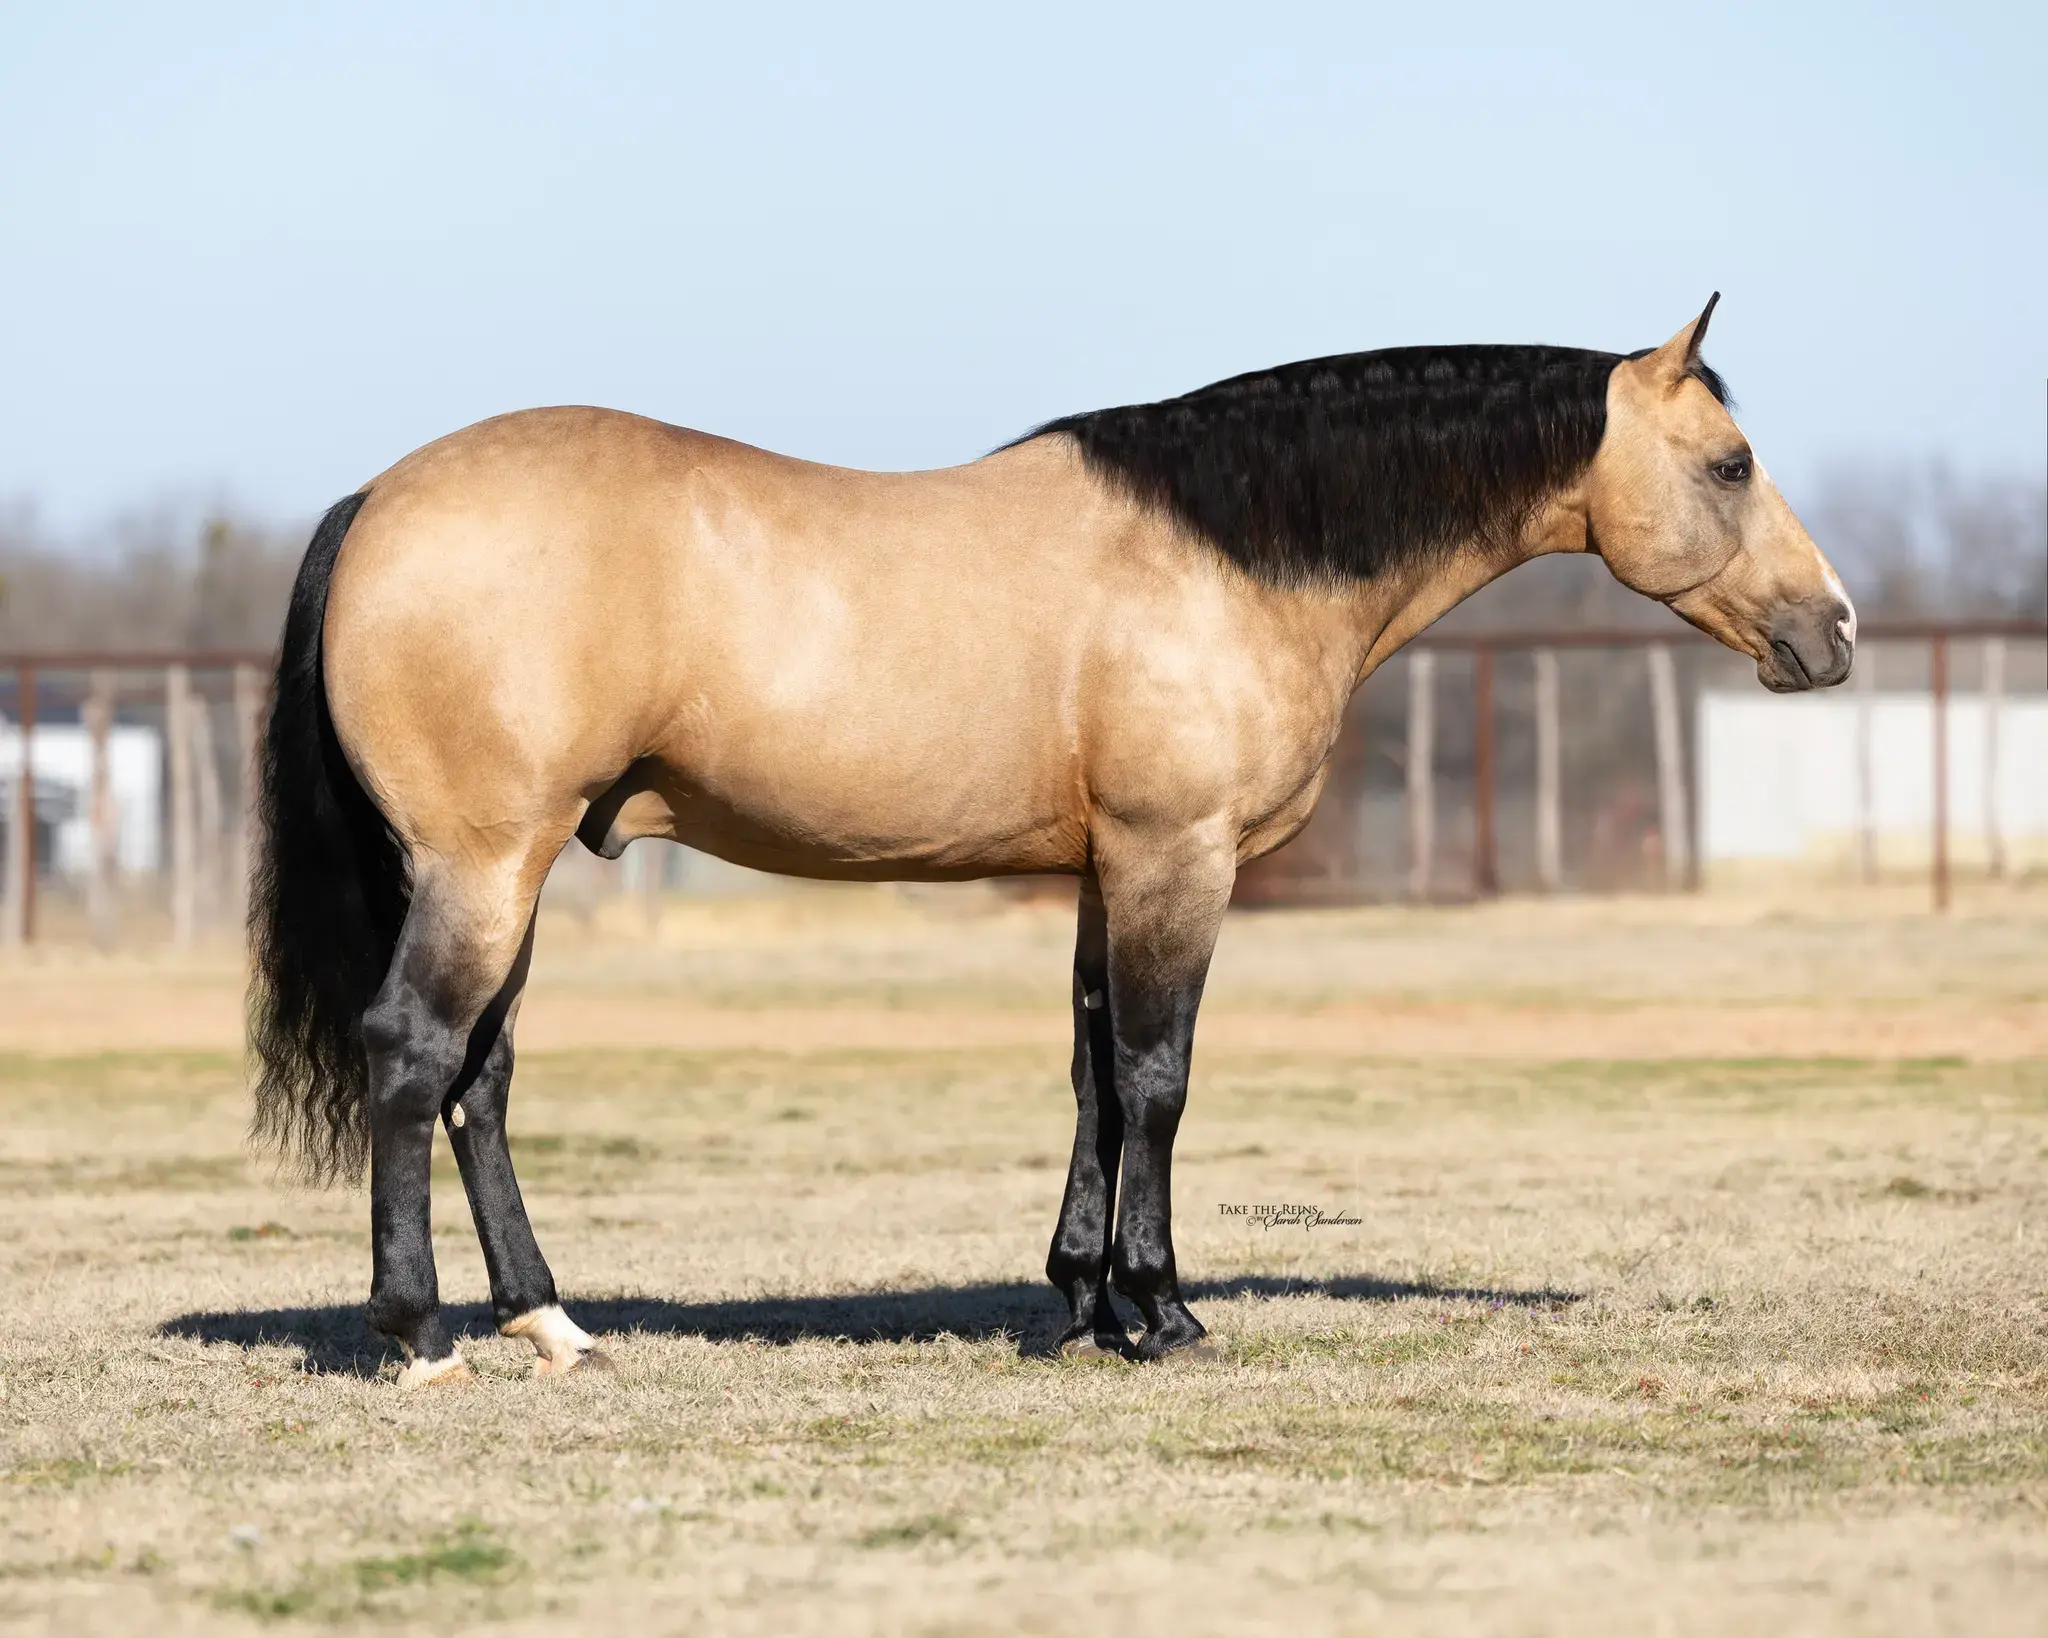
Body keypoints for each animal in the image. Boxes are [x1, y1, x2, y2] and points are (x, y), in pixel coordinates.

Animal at [249, 295, 1854, 1385]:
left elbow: (1089, 1072)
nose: (1830, 631)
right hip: (481, 863)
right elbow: (1155, 1077)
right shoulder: (1176, 856)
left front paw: (1077, 1303)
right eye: (1731, 462)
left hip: (502, 874)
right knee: (415, 1055)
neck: (1223, 554)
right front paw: (1163, 1308)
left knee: (481, 1082)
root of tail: (379, 499)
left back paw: (551, 1320)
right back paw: (420, 1335)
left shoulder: (1104, 867)